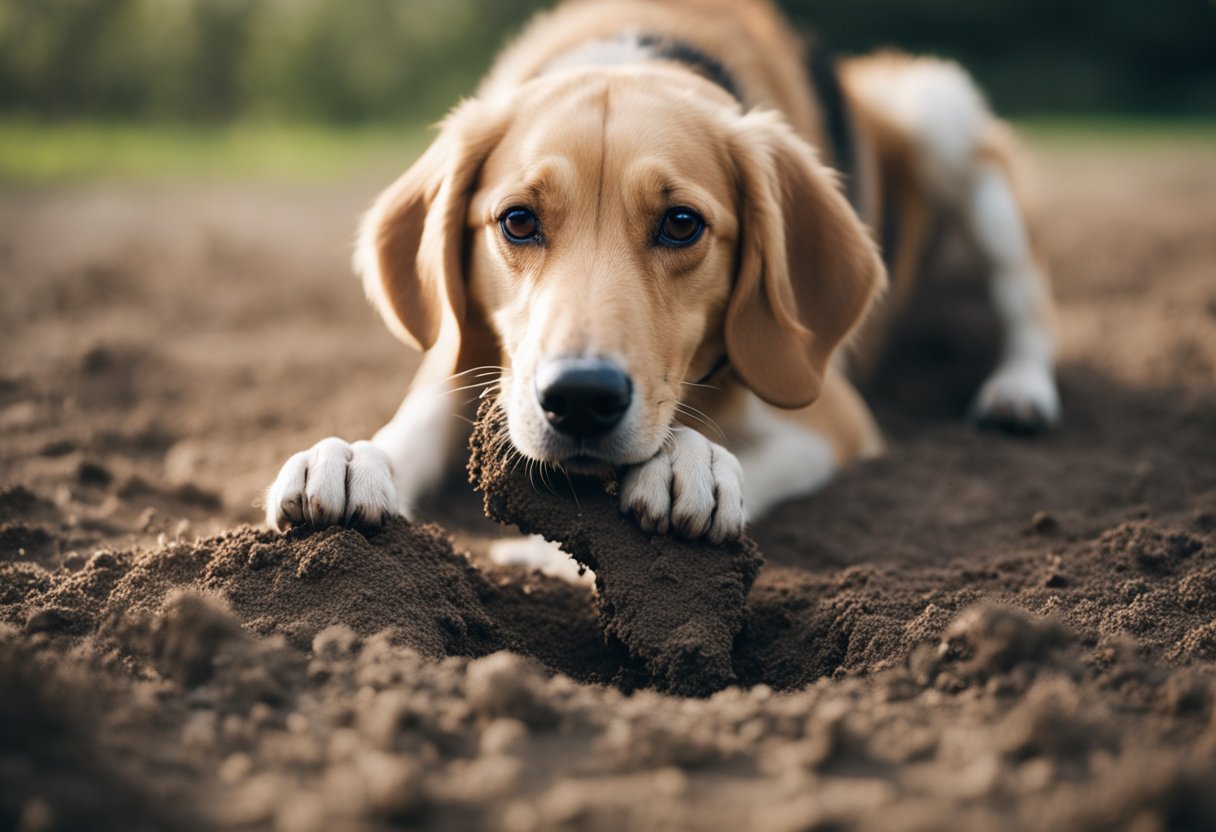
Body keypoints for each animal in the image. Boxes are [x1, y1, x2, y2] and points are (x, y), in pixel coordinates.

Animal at [263, 0, 1055, 542]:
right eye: (517, 221)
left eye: (681, 224)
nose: (580, 398)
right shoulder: (467, 352)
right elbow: (420, 415)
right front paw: (358, 458)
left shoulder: (831, 416)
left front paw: (688, 466)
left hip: (941, 115)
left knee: (1026, 300)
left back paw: (1019, 393)